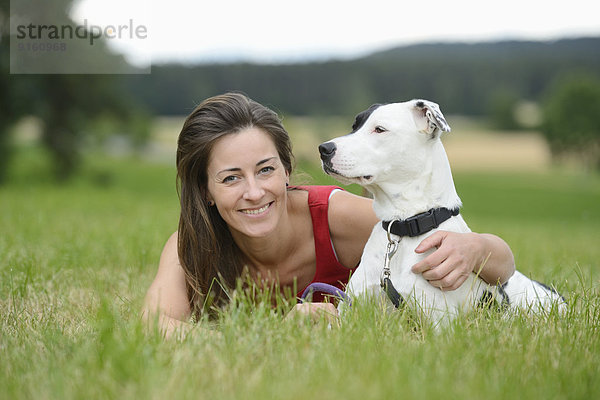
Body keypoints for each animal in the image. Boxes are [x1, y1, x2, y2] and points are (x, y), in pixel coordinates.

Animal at [318, 99, 568, 324]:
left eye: (380, 129)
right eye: (354, 126)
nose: (324, 149)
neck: (404, 226)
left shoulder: (438, 323)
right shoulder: (348, 314)